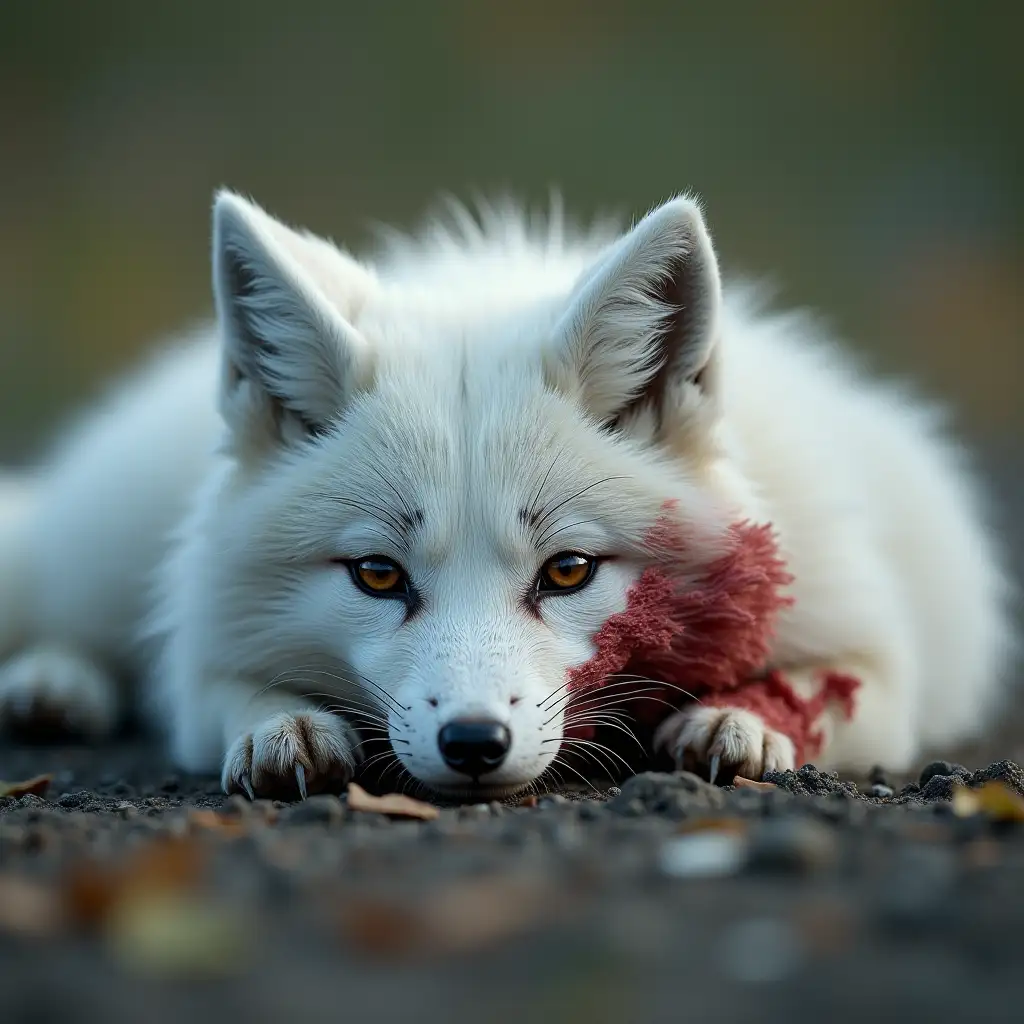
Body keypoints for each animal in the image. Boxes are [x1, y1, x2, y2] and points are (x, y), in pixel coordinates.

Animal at [0, 190, 1011, 798]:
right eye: (377, 575)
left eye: (568, 572)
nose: (474, 744)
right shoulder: (206, 649)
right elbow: (225, 697)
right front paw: (284, 728)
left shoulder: (887, 657)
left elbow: (823, 689)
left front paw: (742, 720)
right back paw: (52, 687)